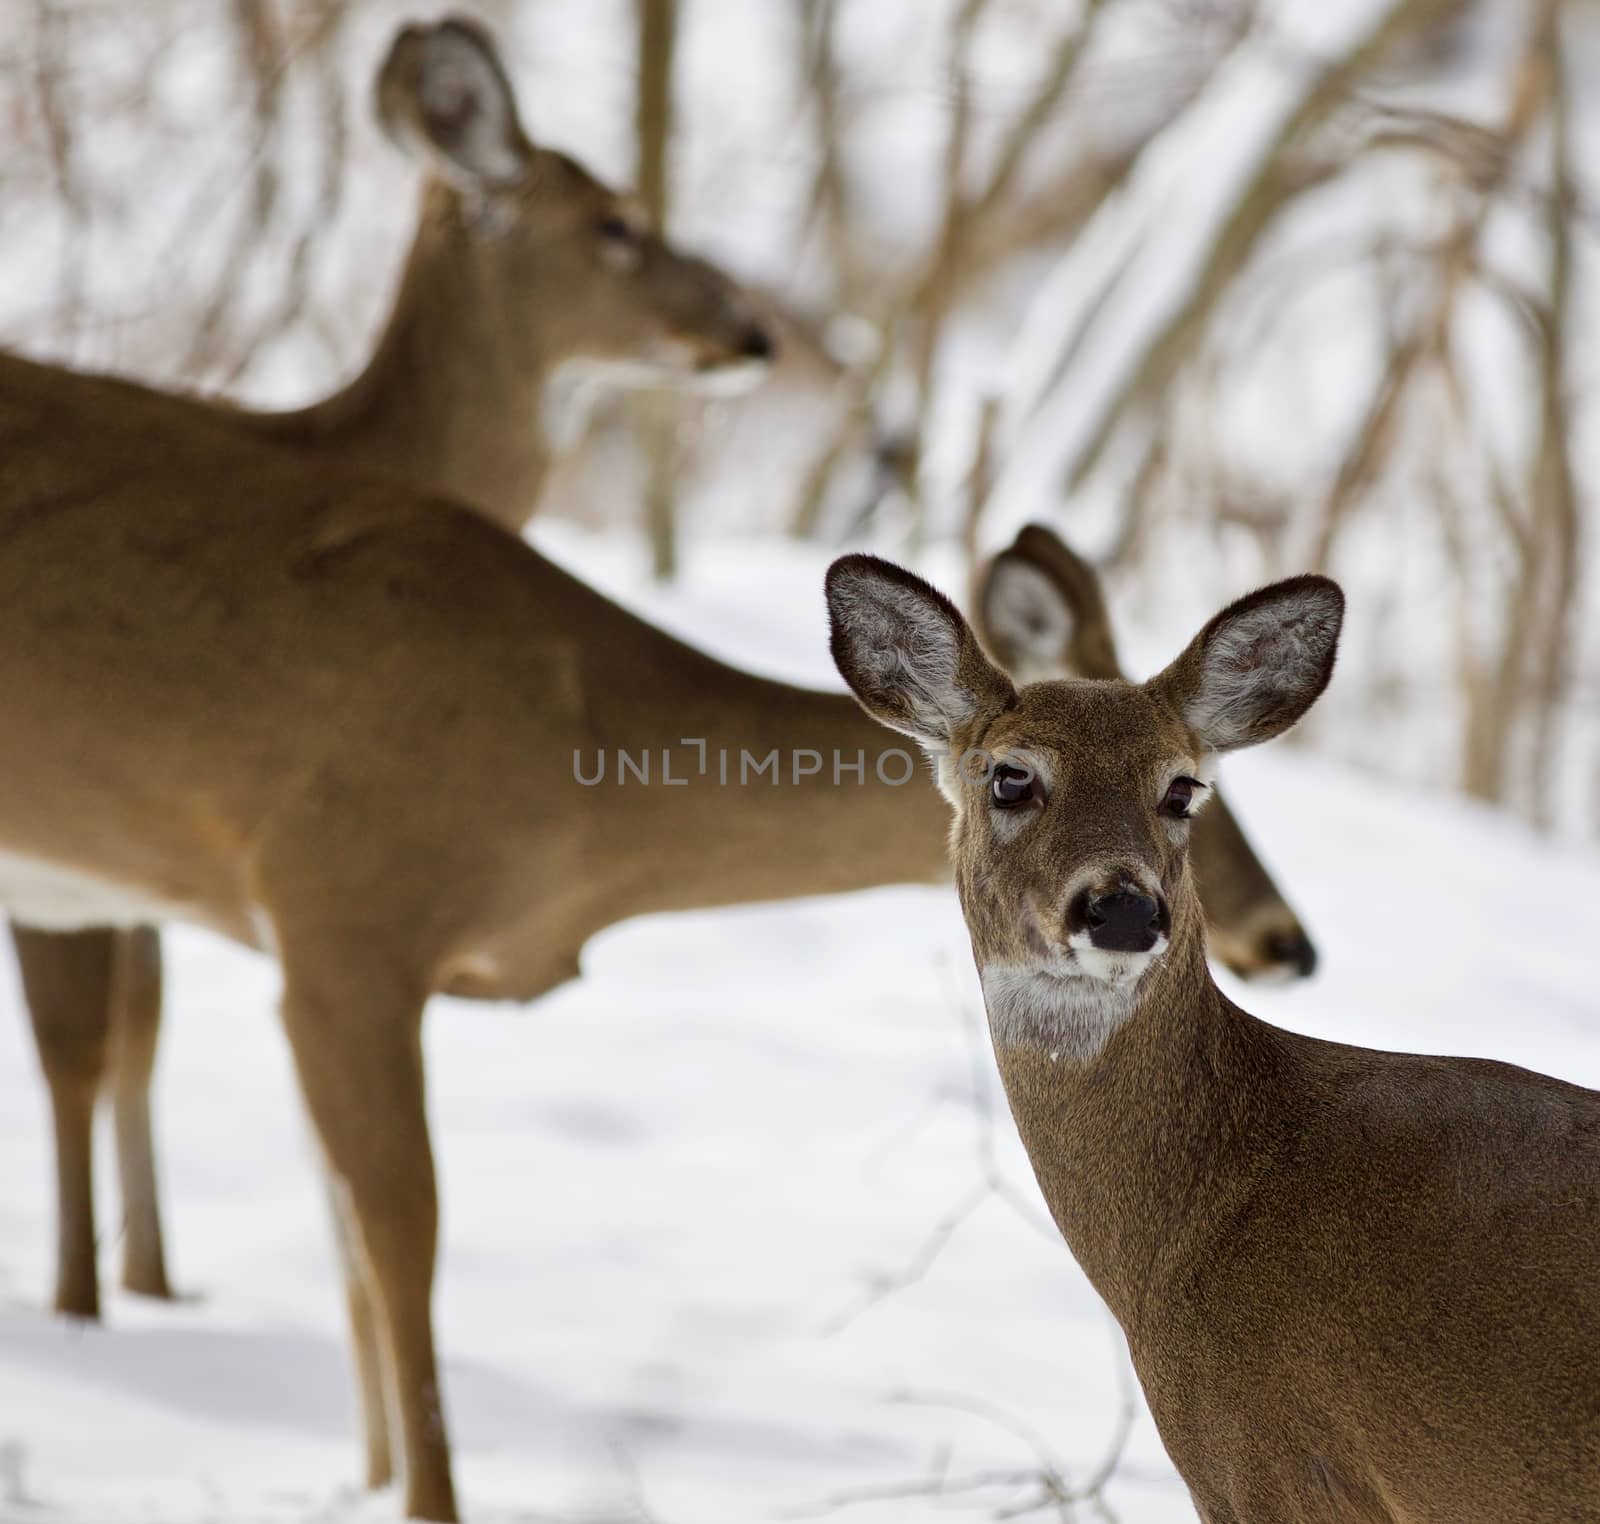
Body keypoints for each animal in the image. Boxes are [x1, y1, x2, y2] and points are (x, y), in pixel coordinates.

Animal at [12, 8, 774, 1319]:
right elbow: (83, 1046)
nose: (752, 334)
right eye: (615, 222)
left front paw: (155, 1284)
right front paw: (86, 1303)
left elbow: (138, 1031)